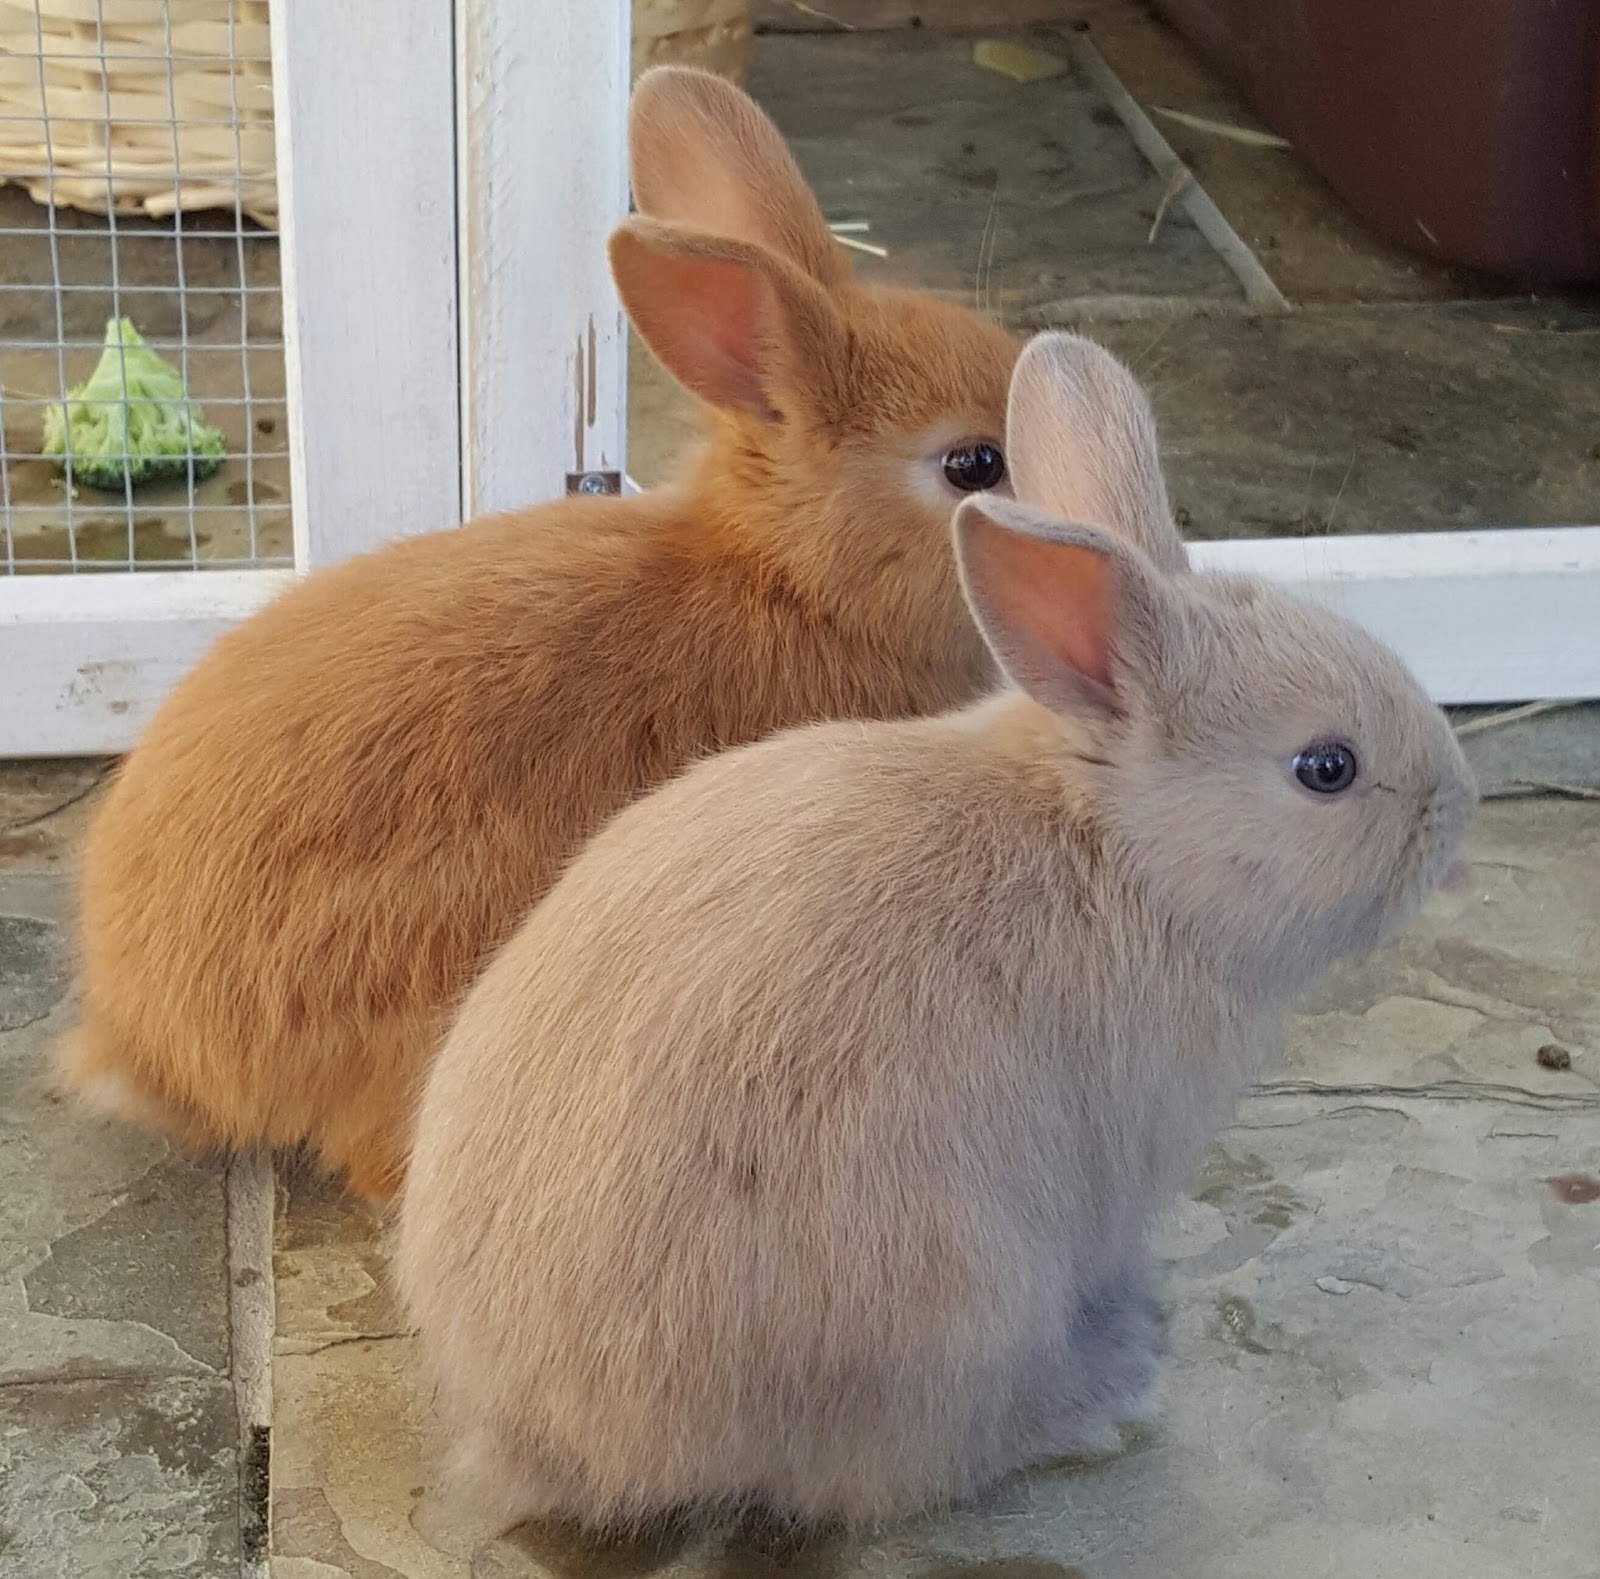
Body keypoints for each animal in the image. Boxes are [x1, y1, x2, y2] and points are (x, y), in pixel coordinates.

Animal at [395, 329, 1476, 1534]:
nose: (1456, 810)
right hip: (962, 1298)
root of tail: (544, 1433)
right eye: (1326, 767)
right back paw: (1103, 1389)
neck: (1111, 845)